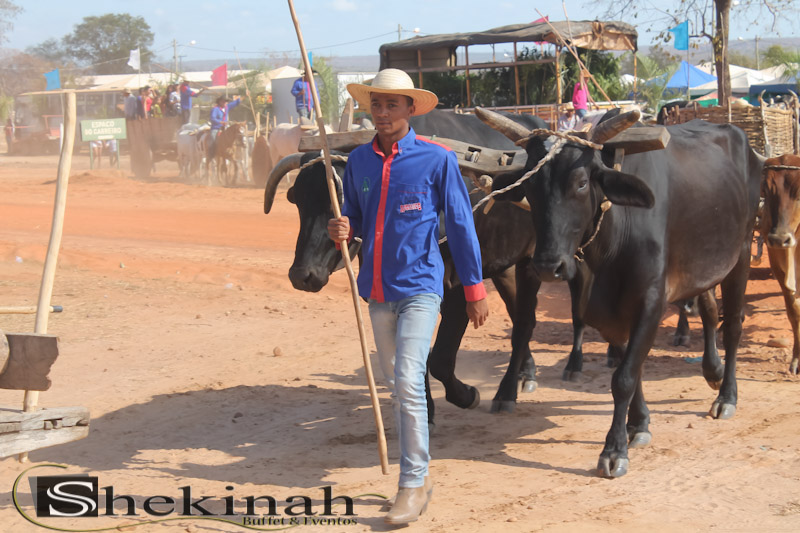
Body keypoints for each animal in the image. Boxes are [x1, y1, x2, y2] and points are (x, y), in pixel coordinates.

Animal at [479, 107, 762, 478]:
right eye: (529, 186)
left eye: (581, 183)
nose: (547, 266)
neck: (611, 241)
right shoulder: (605, 309)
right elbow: (632, 366)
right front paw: (638, 423)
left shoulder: (650, 302)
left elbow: (625, 377)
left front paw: (614, 451)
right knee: (711, 311)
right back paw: (712, 372)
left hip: (741, 253)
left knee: (733, 326)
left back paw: (726, 396)